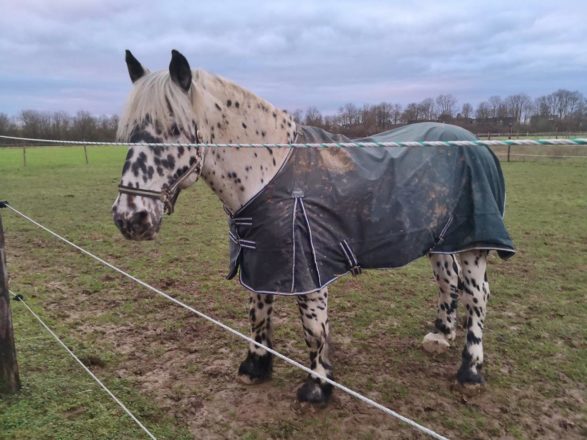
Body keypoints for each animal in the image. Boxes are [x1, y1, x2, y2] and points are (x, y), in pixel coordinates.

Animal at [111, 49, 516, 404]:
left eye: (174, 128)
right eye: (129, 131)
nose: (130, 218)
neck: (269, 173)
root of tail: (477, 142)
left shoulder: (308, 267)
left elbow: (314, 327)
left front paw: (317, 388)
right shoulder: (262, 258)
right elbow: (259, 313)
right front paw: (255, 367)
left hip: (473, 245)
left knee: (477, 295)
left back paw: (470, 372)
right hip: (441, 241)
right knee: (448, 282)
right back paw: (440, 336)